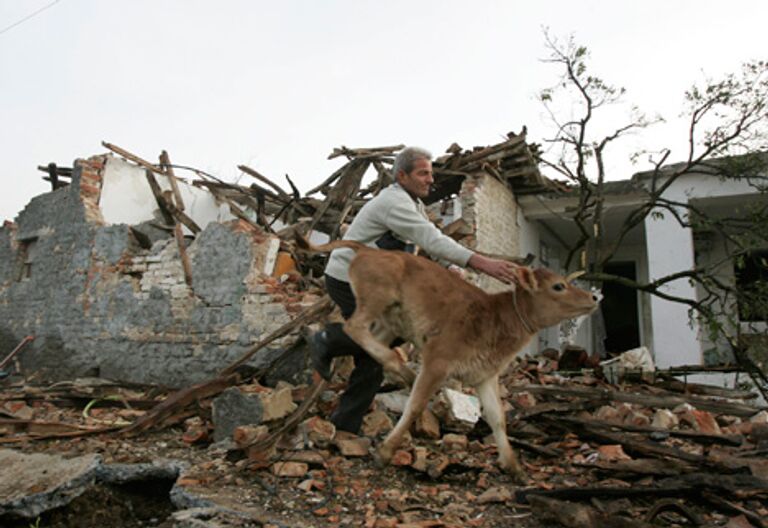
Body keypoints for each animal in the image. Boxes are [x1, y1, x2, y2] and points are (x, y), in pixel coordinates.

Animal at [302, 237, 600, 480]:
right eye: (559, 286)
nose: (594, 297)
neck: (497, 319)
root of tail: (368, 250)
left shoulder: (485, 375)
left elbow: (497, 418)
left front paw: (513, 465)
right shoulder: (438, 359)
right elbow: (415, 406)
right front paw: (386, 451)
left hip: (388, 321)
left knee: (362, 342)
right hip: (376, 298)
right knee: (354, 327)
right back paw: (398, 367)